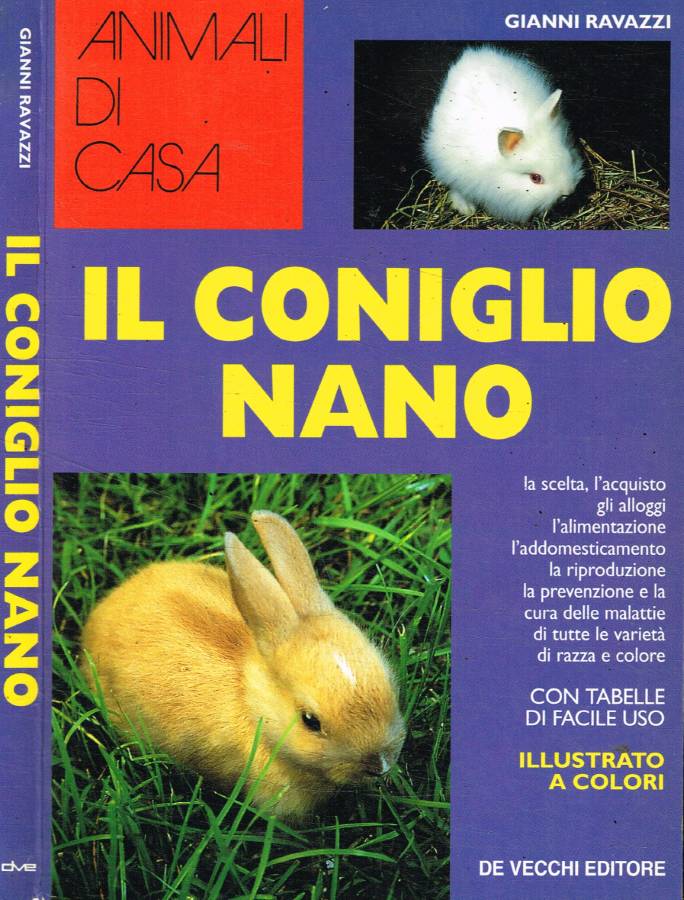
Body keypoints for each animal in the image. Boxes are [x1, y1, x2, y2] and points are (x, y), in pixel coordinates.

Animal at [423, 45, 584, 223]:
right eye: (535, 178)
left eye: (570, 158)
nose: (568, 191)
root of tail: (473, 54)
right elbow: (458, 190)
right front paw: (466, 209)